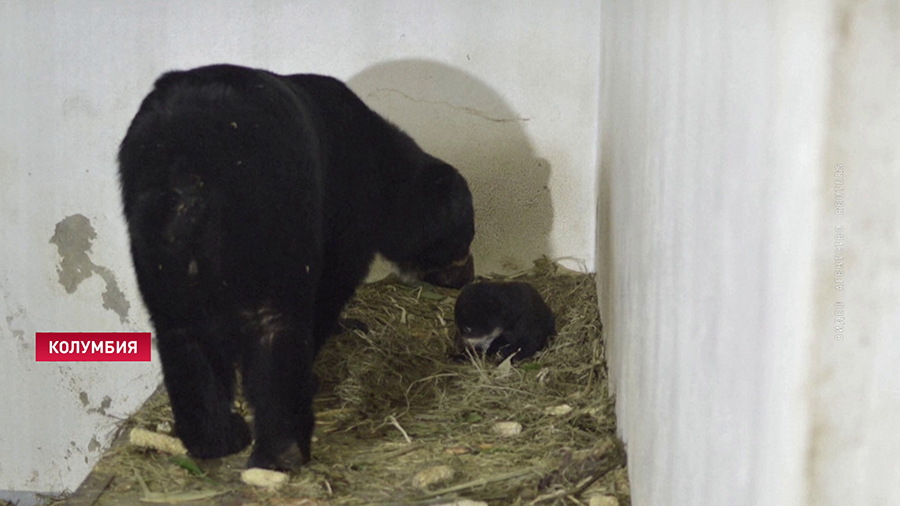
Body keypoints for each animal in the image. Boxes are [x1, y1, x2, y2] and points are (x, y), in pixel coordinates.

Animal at [119, 64, 478, 470]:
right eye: (465, 235)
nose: (468, 274)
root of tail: (188, 174)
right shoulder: (348, 212)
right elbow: (334, 282)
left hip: (152, 233)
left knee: (179, 329)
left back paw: (216, 439)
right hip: (271, 216)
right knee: (277, 324)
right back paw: (283, 448)